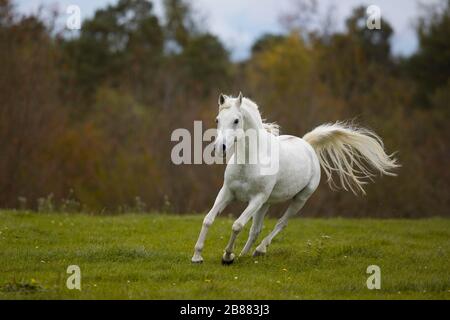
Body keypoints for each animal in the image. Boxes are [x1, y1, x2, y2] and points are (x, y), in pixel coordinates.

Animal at [192, 92, 400, 262]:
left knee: (281, 224)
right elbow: (208, 219)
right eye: (217, 119)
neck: (251, 160)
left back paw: (259, 250)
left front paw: (227, 256)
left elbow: (237, 225)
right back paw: (244, 254)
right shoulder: (227, 193)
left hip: (298, 199)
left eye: (236, 120)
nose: (220, 148)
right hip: (266, 203)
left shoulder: (256, 199)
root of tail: (307, 145)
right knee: (255, 229)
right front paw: (197, 257)